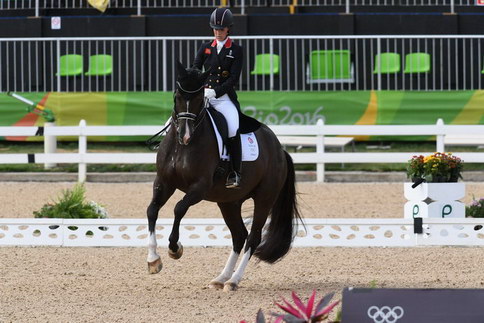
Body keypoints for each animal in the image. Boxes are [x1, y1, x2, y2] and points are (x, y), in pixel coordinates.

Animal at [146, 62, 300, 292]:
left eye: (199, 98)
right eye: (177, 96)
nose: (185, 135)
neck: (182, 147)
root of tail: (280, 149)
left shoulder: (199, 188)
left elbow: (179, 208)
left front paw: (175, 248)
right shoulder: (164, 183)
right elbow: (152, 210)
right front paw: (153, 260)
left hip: (264, 198)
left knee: (252, 238)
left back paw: (234, 280)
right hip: (229, 202)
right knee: (239, 236)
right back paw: (221, 278)